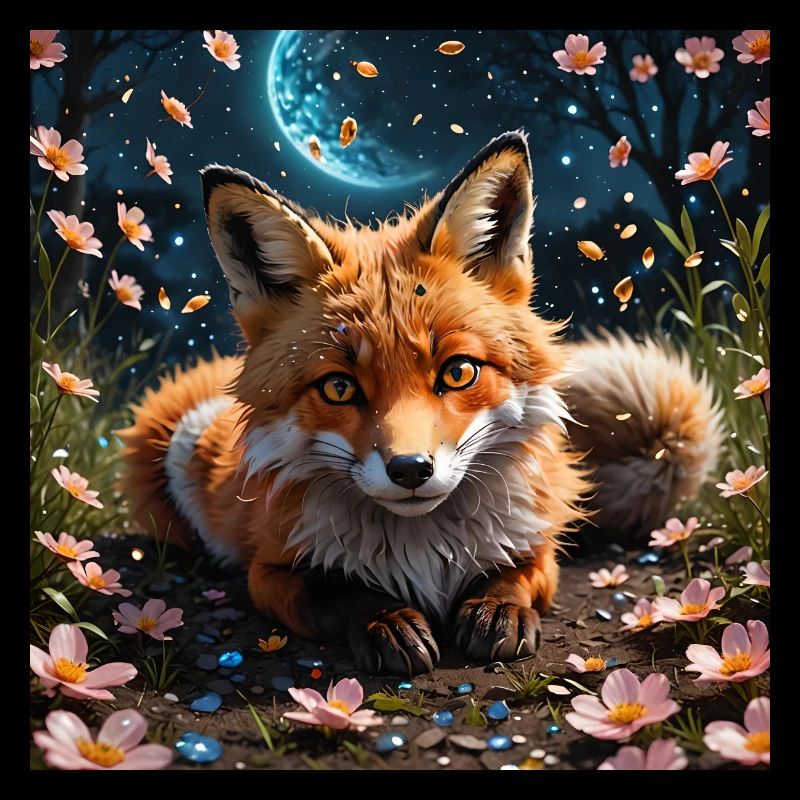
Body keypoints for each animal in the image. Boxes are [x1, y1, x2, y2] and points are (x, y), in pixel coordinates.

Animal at [118, 131, 722, 675]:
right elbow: (336, 591)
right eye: (339, 387)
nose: (411, 469)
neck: (424, 547)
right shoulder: (269, 571)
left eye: (458, 372)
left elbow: (514, 576)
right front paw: (385, 619)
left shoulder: (536, 547)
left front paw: (495, 608)